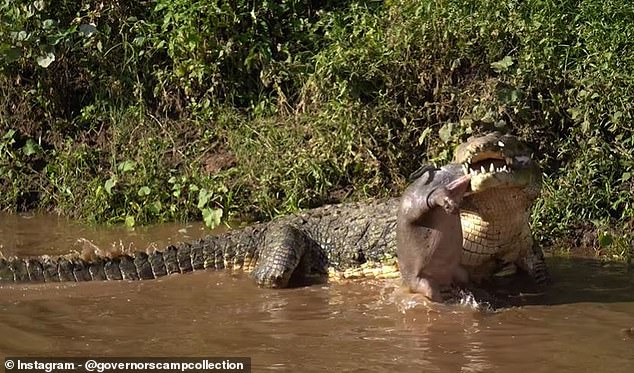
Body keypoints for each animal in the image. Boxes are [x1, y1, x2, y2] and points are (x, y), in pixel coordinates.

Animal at [396, 164, 470, 300]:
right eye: (445, 168)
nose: (457, 164)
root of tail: (442, 280)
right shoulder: (416, 206)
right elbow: (434, 196)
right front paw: (450, 206)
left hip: (459, 272)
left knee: (462, 280)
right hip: (421, 283)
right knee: (432, 292)